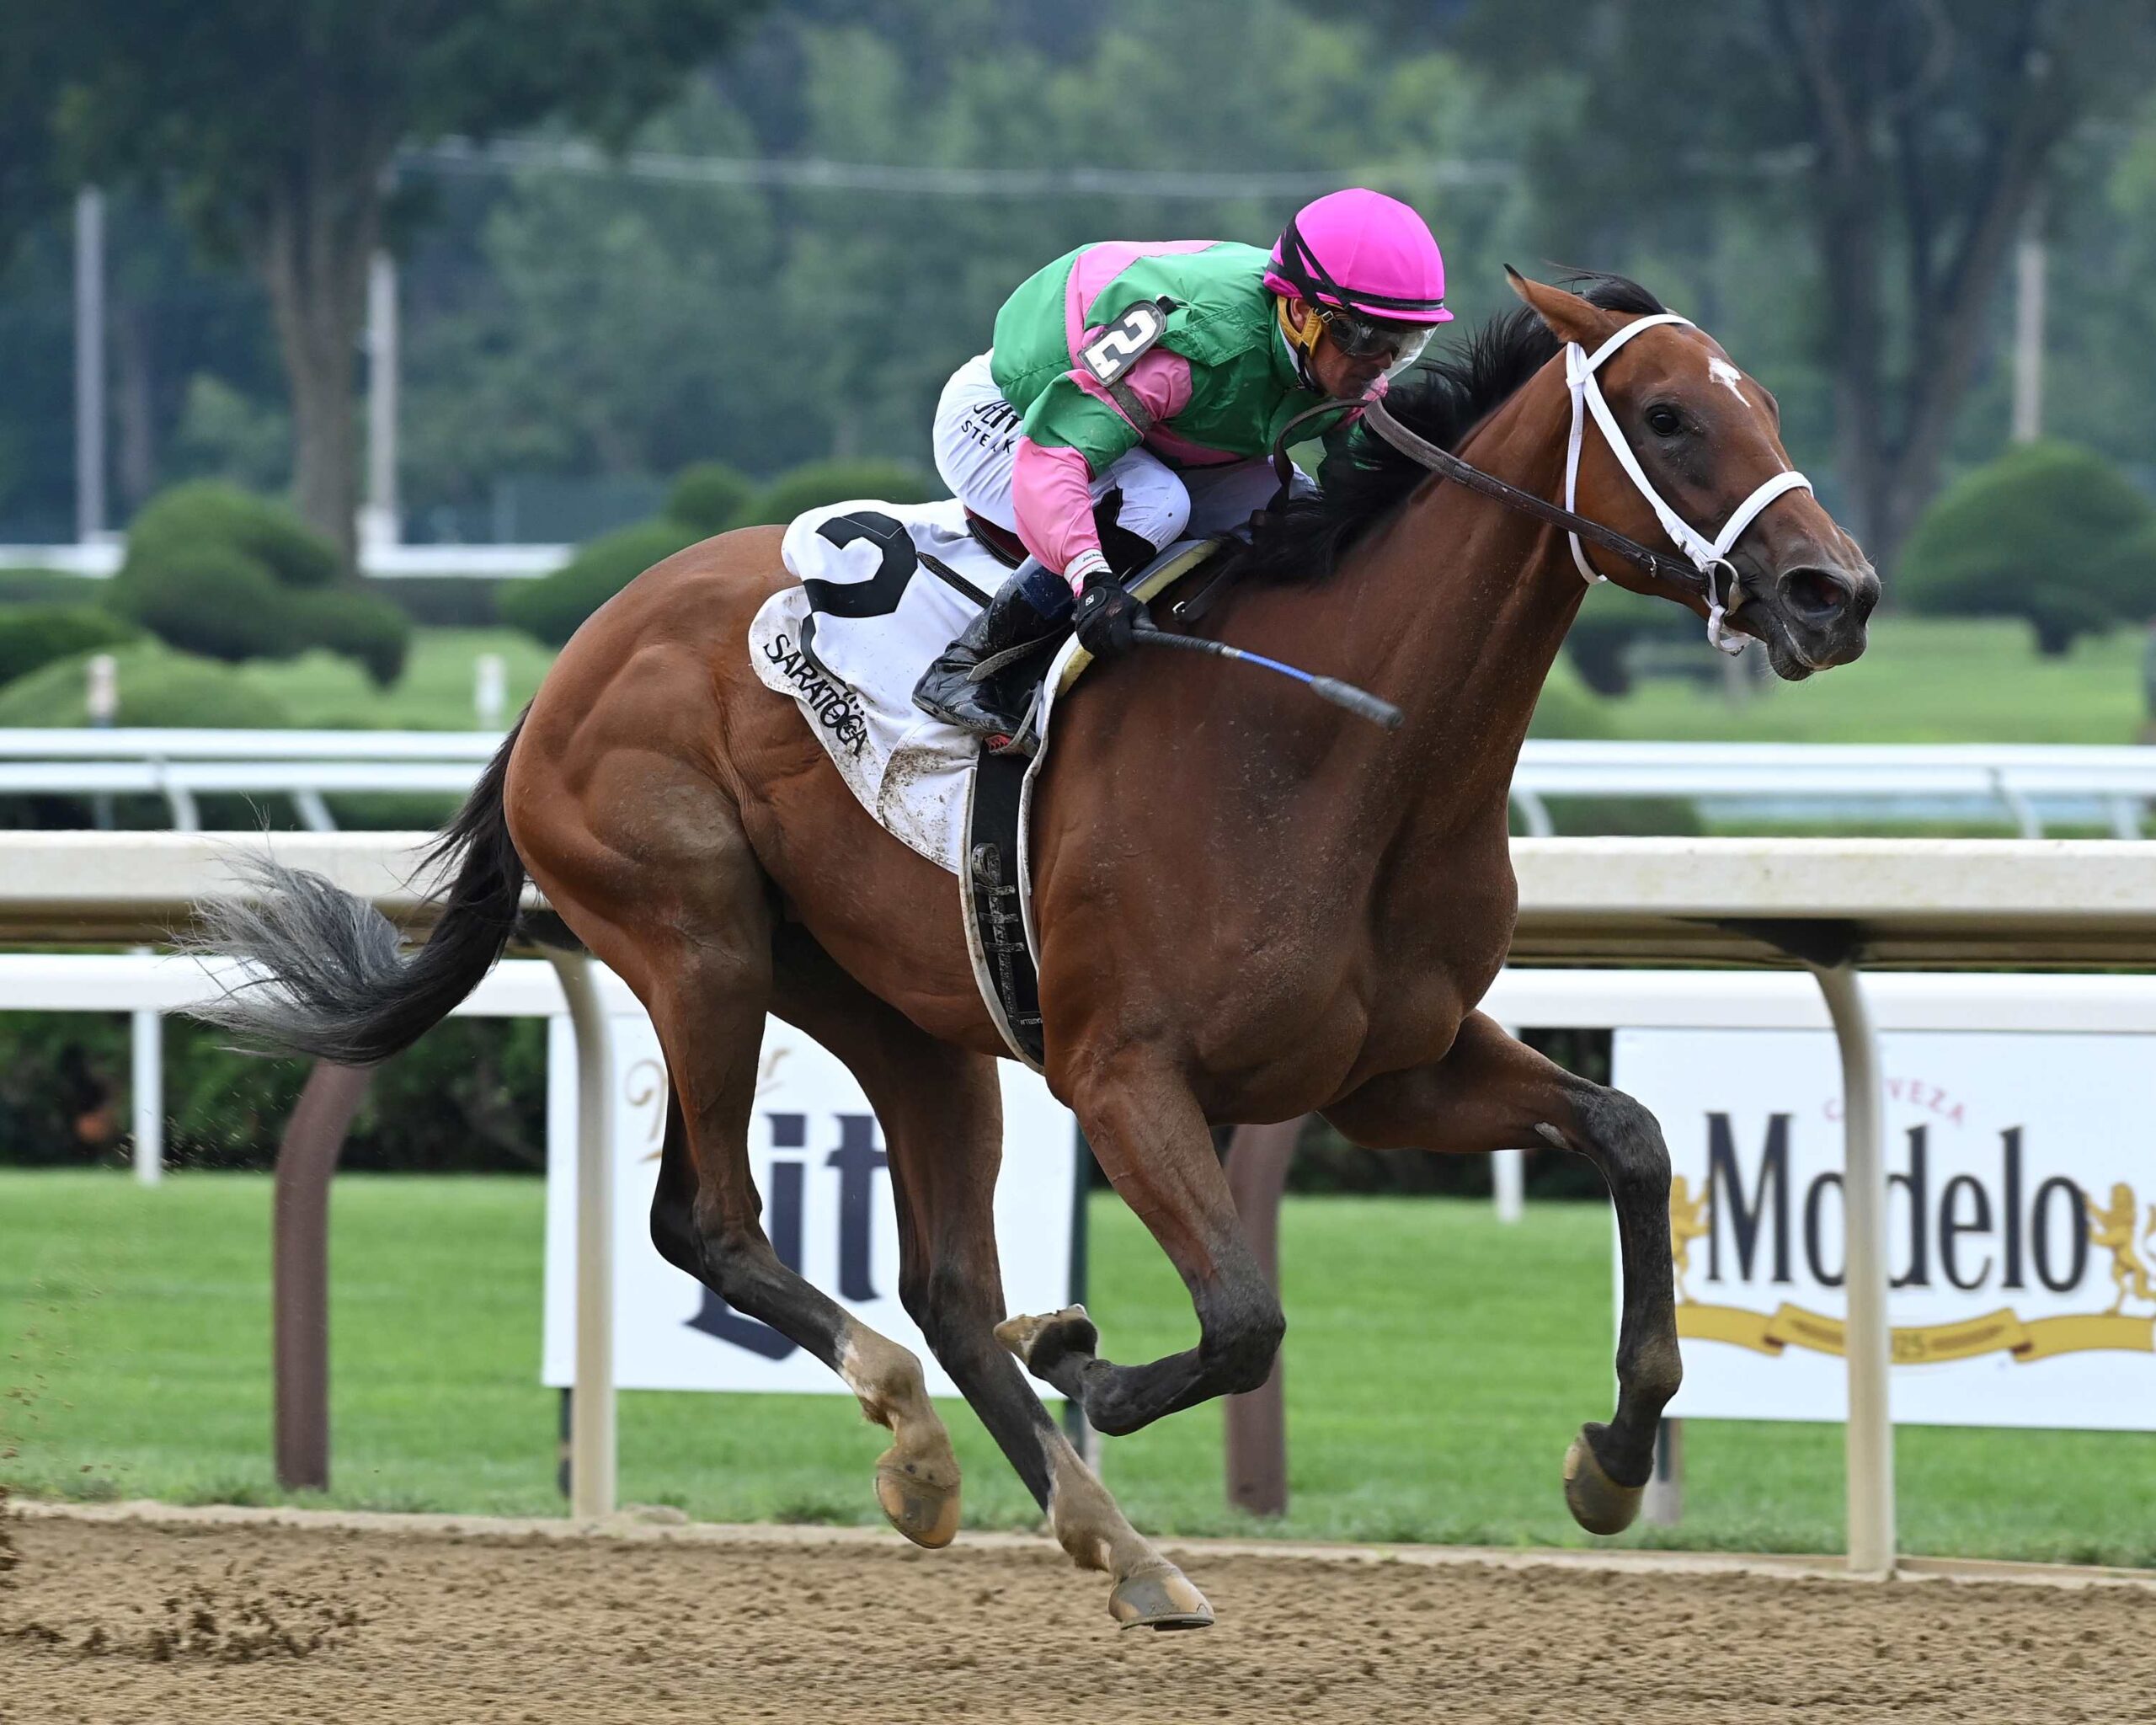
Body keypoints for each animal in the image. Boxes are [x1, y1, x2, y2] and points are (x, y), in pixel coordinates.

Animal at [191, 270, 1877, 1630]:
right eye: (1667, 414)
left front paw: (1612, 1458)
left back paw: (1117, 1545)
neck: (1342, 746)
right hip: (699, 941)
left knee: (939, 1277)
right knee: (708, 1221)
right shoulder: (1125, 1073)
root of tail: (567, 663)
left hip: (903, 1012)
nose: (1834, 591)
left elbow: (1632, 1134)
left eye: (1769, 404)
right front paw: (1092, 1359)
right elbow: (1244, 1320)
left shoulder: (1393, 1069)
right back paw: (926, 1445)